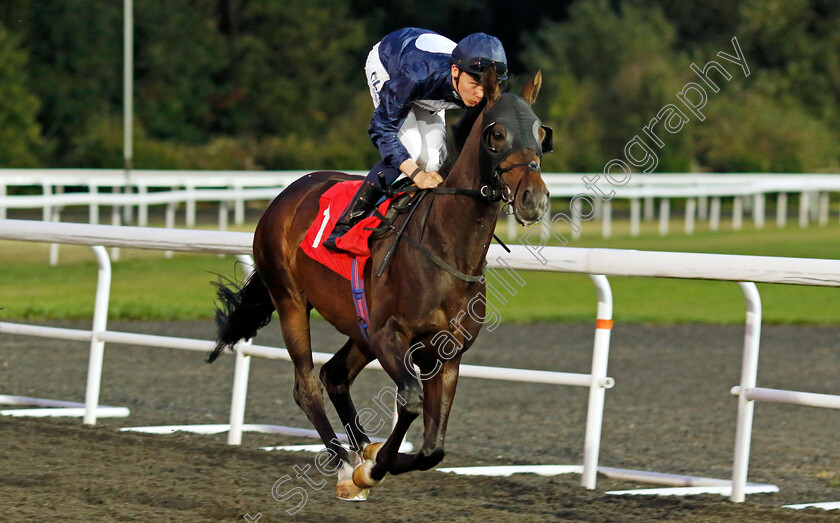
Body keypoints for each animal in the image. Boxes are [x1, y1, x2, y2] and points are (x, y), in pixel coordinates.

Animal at [208, 67, 552, 502]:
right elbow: (409, 402)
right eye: (497, 134)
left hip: (360, 328)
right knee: (307, 386)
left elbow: (433, 448)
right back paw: (345, 464)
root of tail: (286, 195)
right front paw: (369, 468)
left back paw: (359, 451)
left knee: (334, 375)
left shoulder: (446, 355)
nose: (533, 199)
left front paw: (375, 459)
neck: (447, 248)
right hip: (291, 301)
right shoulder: (391, 336)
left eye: (542, 134)